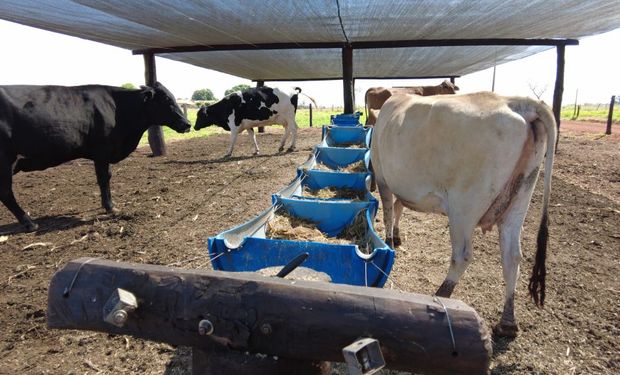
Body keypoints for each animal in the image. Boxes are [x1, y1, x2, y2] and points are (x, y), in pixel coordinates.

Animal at [0, 81, 190, 232]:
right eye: (167, 100)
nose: (187, 124)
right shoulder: (102, 152)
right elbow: (104, 179)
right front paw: (110, 207)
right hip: (6, 161)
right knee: (6, 192)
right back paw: (29, 223)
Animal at [372, 92, 556, 338]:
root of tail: (516, 102)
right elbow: (398, 206)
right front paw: (397, 236)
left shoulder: (383, 178)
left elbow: (389, 211)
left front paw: (391, 240)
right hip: (520, 198)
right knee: (512, 257)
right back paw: (507, 323)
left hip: (464, 207)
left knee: (462, 256)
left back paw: (441, 296)